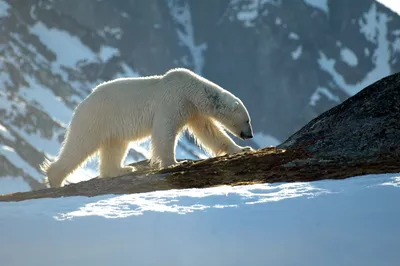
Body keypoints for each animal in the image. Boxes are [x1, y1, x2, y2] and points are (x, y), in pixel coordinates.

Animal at [39, 67, 253, 187]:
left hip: (112, 125)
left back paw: (123, 169)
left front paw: (242, 149)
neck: (191, 90)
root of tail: (83, 102)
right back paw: (55, 178)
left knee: (115, 146)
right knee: (80, 144)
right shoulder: (172, 101)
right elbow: (164, 131)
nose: (249, 135)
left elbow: (210, 132)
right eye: (247, 120)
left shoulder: (193, 111)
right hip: (96, 118)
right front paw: (175, 162)